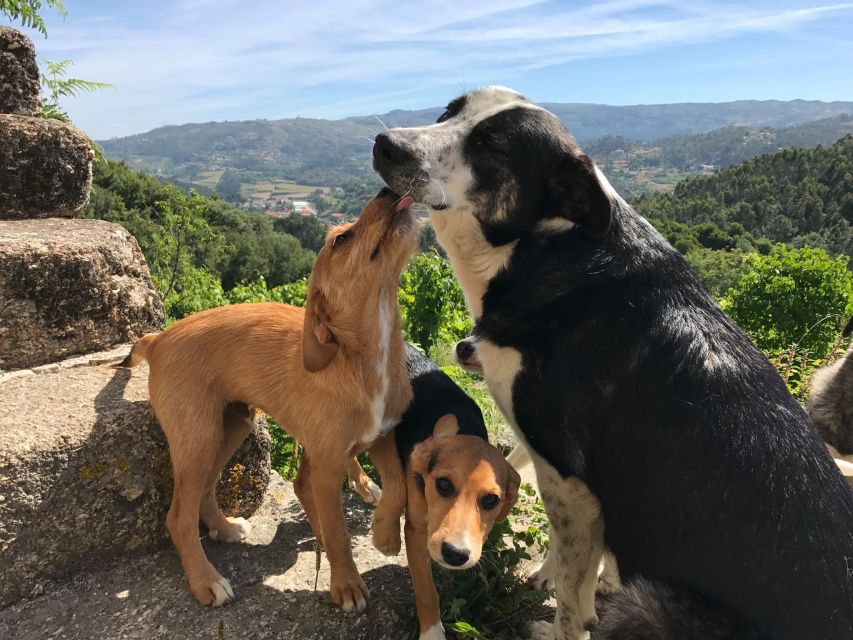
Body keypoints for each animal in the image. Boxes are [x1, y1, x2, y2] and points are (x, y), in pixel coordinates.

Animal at [122, 189, 420, 608]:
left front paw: (385, 534)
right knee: (178, 516)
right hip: (198, 436)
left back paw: (225, 528)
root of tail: (158, 338)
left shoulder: (383, 434)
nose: (388, 191)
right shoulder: (324, 467)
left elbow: (398, 483)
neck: (362, 360)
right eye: (340, 240)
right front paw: (346, 584)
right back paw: (206, 580)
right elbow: (338, 533)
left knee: (207, 489)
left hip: (232, 425)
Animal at [372, 87, 852, 640]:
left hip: (649, 602)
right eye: (448, 111)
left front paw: (560, 612)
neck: (550, 245)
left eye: (492, 145)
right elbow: (576, 565)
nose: (384, 144)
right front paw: (560, 575)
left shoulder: (570, 481)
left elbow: (570, 601)